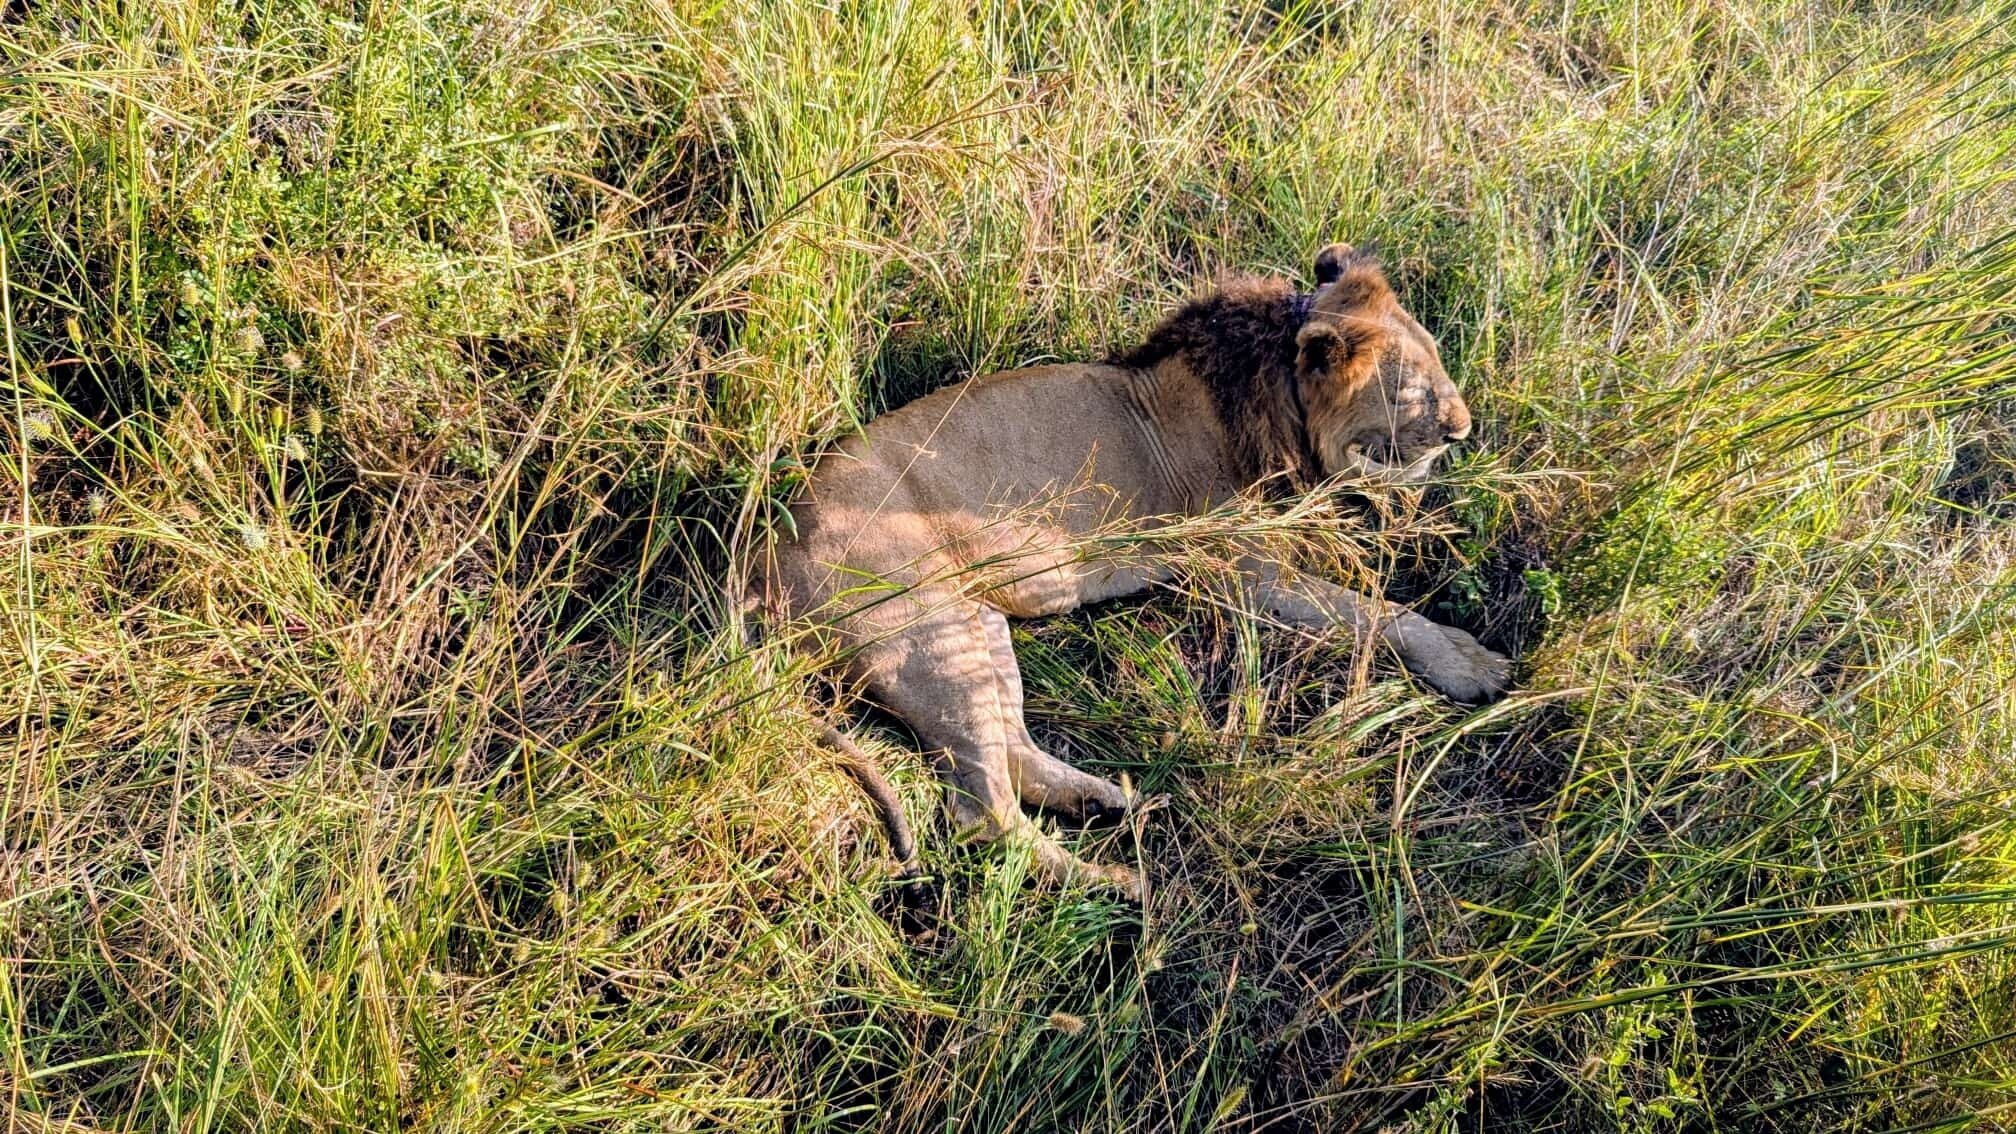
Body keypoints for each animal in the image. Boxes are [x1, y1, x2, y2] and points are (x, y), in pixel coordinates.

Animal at [762, 244, 1510, 897]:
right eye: (1411, 394)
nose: (1464, 428)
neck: (1278, 397)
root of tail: (761, 554)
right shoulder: (1244, 574)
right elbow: (1379, 613)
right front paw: (1471, 664)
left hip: (975, 622)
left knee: (1012, 753)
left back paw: (1108, 800)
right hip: (926, 628)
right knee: (983, 815)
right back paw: (1118, 884)